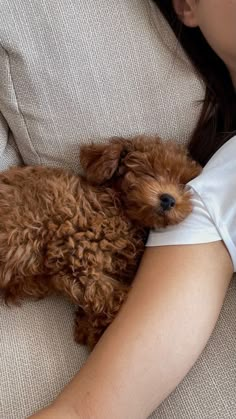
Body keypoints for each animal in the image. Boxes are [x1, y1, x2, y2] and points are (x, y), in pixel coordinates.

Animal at [0, 136, 201, 350]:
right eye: (148, 172)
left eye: (183, 183)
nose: (168, 200)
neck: (120, 209)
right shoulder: (76, 253)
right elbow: (111, 297)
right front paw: (96, 333)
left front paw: (86, 329)